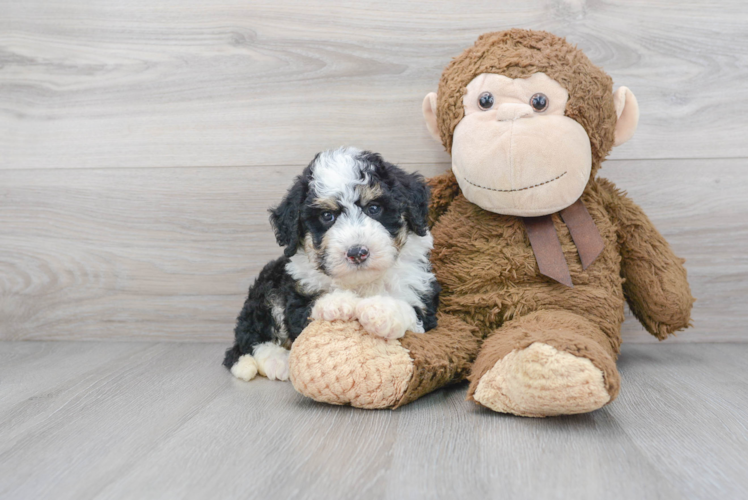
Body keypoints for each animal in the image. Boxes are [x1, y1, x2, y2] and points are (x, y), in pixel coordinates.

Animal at [225, 146, 442, 380]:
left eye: (374, 208)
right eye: (327, 216)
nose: (357, 253)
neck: (361, 282)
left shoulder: (422, 297)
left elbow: (413, 313)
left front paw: (381, 310)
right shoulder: (297, 292)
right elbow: (306, 311)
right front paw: (338, 302)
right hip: (266, 290)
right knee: (250, 340)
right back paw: (278, 361)